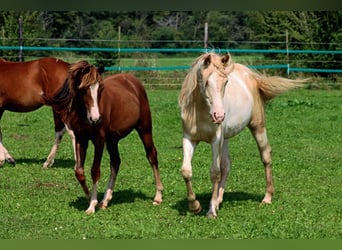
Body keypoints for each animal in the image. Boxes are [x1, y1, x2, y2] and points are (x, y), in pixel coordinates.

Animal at [44, 61, 163, 215]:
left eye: (100, 88)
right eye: (83, 88)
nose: (96, 119)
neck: (84, 114)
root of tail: (133, 82)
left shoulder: (99, 141)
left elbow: (95, 171)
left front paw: (92, 205)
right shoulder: (81, 139)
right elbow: (79, 171)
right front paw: (90, 197)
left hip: (145, 129)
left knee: (152, 155)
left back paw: (158, 196)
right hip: (113, 140)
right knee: (116, 162)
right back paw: (106, 200)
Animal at [179, 51, 304, 218]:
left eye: (225, 82)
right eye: (206, 82)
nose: (219, 115)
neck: (201, 111)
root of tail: (251, 76)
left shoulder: (215, 140)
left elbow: (214, 172)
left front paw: (211, 211)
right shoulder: (189, 139)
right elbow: (186, 171)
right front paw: (195, 206)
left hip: (257, 127)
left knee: (266, 156)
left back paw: (267, 198)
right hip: (225, 139)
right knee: (226, 165)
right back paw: (219, 200)